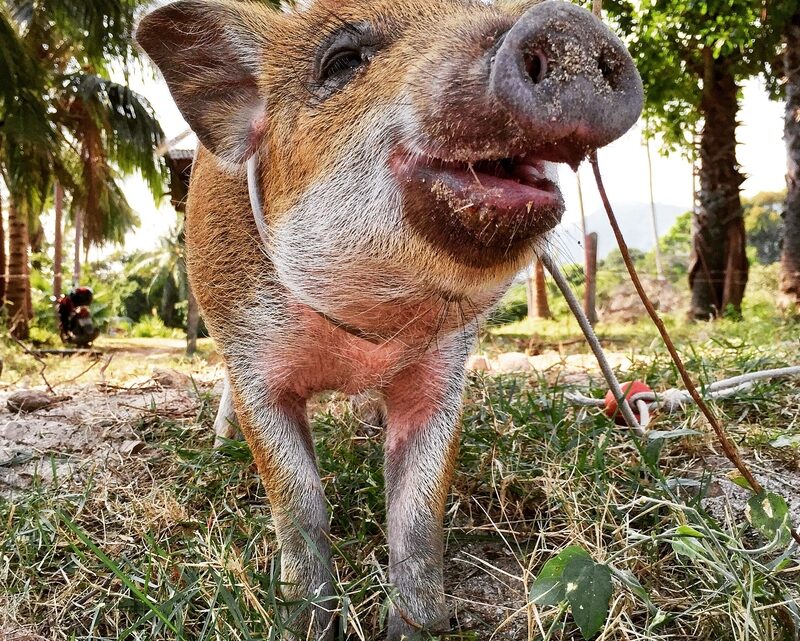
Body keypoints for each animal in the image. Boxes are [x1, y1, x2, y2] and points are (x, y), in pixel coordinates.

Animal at [134, 1, 640, 636]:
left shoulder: (441, 374)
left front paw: (418, 627)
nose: (568, 23)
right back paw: (224, 442)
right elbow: (298, 500)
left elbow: (420, 510)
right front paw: (304, 624)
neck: (367, 331)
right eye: (341, 61)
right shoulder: (254, 358)